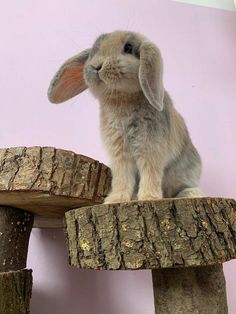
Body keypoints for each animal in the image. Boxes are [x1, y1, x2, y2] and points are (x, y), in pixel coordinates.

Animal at [48, 30, 203, 204]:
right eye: (94, 51)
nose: (96, 66)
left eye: (128, 48)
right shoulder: (120, 153)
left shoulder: (150, 147)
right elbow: (122, 177)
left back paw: (189, 193)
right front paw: (116, 199)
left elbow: (150, 173)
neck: (121, 101)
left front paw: (148, 198)